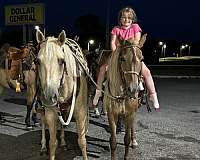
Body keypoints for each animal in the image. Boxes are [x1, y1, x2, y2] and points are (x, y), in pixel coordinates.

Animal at [35, 29, 88, 160]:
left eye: (62, 61)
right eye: (37, 61)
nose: (50, 97)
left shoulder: (81, 112)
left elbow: (82, 141)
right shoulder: (50, 113)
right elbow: (52, 143)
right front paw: (49, 145)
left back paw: (63, 142)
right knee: (43, 121)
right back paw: (43, 146)